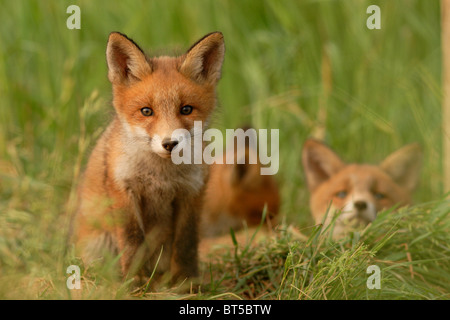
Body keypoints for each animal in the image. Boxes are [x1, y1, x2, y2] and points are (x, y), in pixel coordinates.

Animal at [73, 31, 225, 284]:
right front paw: (135, 284)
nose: (169, 144)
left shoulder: (191, 192)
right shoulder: (124, 191)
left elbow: (186, 245)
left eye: (186, 109)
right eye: (146, 111)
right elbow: (132, 244)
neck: (160, 176)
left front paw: (186, 284)